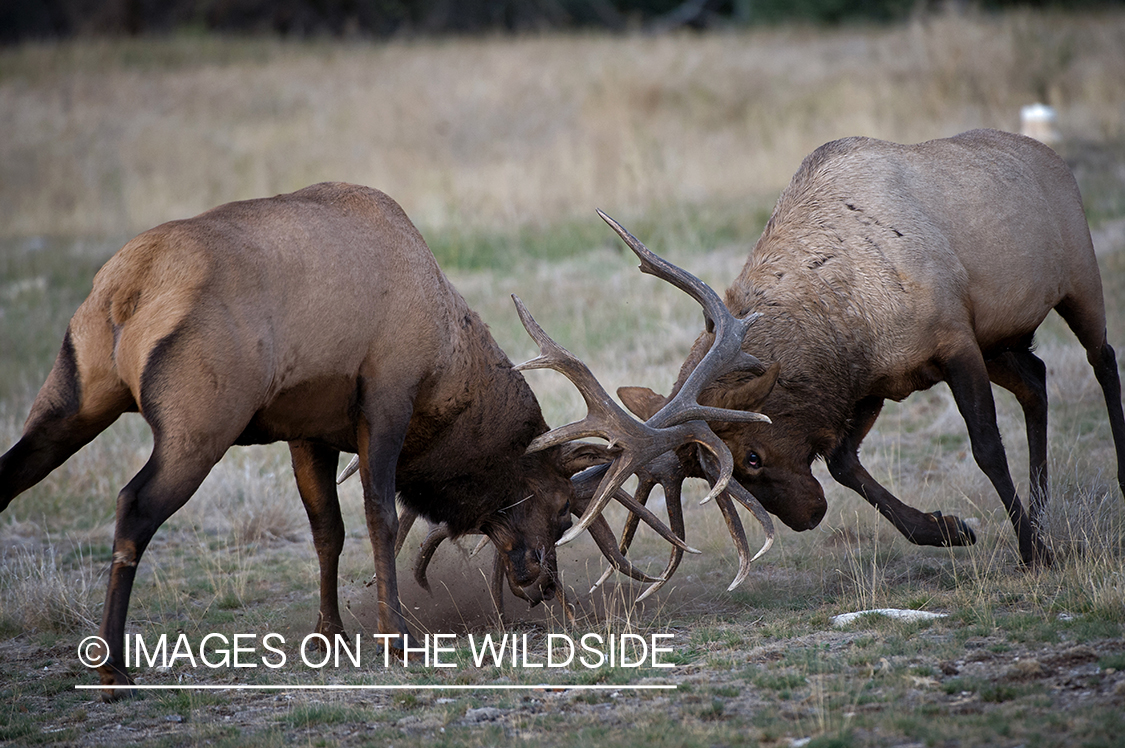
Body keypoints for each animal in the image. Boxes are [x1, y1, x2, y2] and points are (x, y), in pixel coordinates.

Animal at [0, 183, 729, 697]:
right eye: (553, 505)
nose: (539, 579)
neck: (447, 357)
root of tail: (126, 289)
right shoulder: (385, 395)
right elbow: (380, 514)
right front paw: (394, 635)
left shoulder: (307, 430)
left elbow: (326, 529)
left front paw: (330, 636)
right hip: (199, 419)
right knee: (133, 505)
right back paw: (113, 672)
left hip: (71, 394)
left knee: (9, 477)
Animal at [612, 129, 1125, 571]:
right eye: (712, 476)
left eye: (751, 457)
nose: (809, 517)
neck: (843, 318)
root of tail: (1052, 156)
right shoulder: (875, 380)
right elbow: (842, 463)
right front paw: (947, 528)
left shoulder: (954, 340)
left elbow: (986, 448)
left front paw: (1034, 552)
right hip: (1000, 340)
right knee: (1036, 379)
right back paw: (1040, 513)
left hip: (1080, 280)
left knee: (1102, 359)